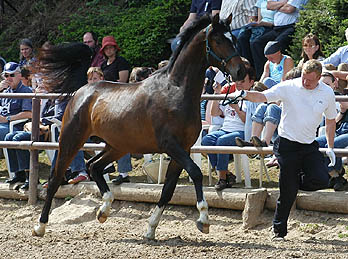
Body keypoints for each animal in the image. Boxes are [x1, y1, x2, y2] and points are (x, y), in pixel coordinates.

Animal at [32, 14, 245, 240]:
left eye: (233, 38)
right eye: (218, 40)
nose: (241, 70)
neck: (176, 91)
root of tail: (83, 90)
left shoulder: (183, 149)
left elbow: (168, 189)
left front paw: (150, 229)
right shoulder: (171, 146)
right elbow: (195, 173)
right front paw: (203, 220)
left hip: (117, 146)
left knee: (93, 166)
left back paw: (104, 210)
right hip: (71, 139)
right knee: (56, 178)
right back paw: (40, 226)